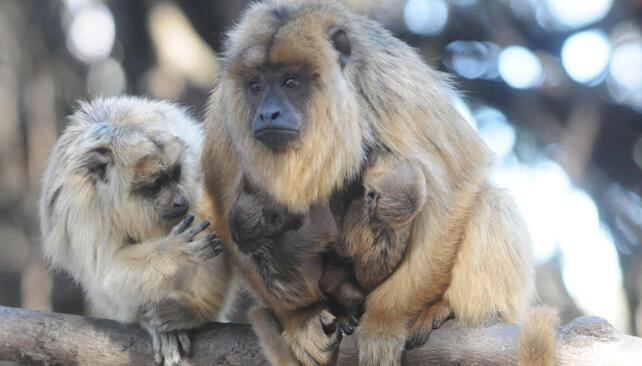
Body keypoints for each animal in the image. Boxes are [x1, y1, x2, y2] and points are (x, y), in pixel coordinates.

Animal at [39, 96, 230, 366]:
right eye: (155, 185)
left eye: (175, 173)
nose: (180, 200)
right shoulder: (81, 208)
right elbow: (105, 271)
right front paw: (176, 252)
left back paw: (196, 311)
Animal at [199, 1, 536, 364]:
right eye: (255, 86)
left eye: (291, 82)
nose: (267, 113)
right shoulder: (224, 115)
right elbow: (221, 211)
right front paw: (302, 316)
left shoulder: (393, 85)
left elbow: (459, 180)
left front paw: (385, 321)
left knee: (491, 201)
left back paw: (446, 309)